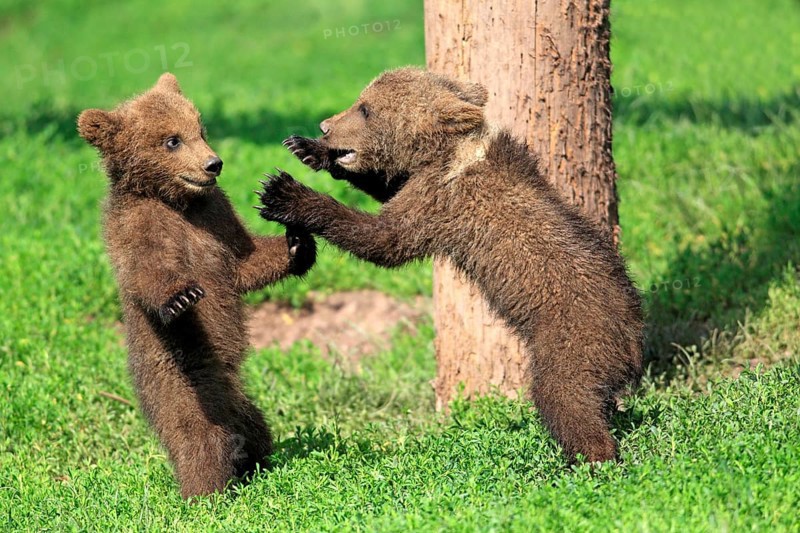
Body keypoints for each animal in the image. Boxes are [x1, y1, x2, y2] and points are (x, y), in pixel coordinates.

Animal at [77, 73, 316, 498]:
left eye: (200, 130)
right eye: (172, 140)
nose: (213, 164)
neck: (177, 201)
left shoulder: (216, 218)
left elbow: (243, 262)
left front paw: (297, 242)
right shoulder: (137, 227)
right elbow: (147, 272)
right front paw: (181, 296)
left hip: (231, 393)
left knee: (252, 423)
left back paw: (257, 462)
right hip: (179, 375)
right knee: (198, 432)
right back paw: (206, 491)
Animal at [257, 67, 644, 463]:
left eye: (365, 109)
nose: (325, 126)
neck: (445, 152)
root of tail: (634, 339)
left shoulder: (440, 201)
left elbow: (384, 239)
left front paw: (285, 192)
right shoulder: (422, 185)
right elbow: (388, 188)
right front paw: (307, 150)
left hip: (573, 338)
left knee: (566, 397)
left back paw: (590, 459)